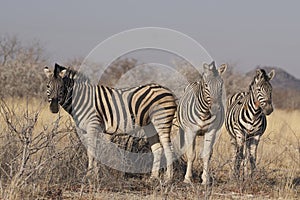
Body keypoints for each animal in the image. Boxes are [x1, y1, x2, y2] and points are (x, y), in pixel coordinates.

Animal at [43, 63, 177, 182]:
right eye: (48, 86)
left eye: (61, 88)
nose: (53, 108)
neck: (81, 100)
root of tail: (166, 89)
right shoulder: (86, 130)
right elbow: (93, 151)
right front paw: (95, 175)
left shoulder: (93, 126)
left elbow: (91, 151)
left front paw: (89, 176)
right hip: (150, 126)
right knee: (158, 149)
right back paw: (153, 178)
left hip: (162, 121)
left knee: (169, 148)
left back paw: (168, 178)